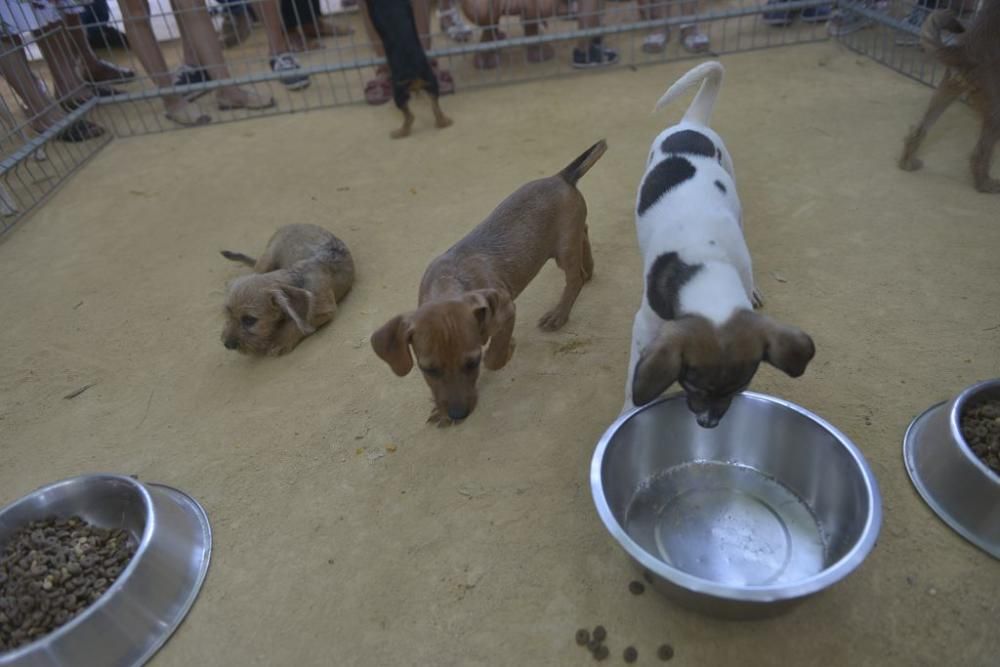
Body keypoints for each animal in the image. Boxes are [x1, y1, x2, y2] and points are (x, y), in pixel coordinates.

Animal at [221, 224, 354, 358]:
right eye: (228, 314)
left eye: (249, 320)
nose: (227, 344)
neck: (298, 278)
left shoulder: (323, 309)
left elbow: (297, 323)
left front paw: (280, 340)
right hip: (267, 260)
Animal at [368, 0, 454, 138]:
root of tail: (414, 73)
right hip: (431, 82)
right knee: (435, 109)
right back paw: (443, 122)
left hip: (399, 93)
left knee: (410, 117)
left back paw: (400, 132)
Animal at [628, 61, 816, 428]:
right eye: (692, 385)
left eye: (740, 387)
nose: (709, 424)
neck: (706, 260)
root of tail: (693, 123)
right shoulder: (644, 325)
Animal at [900, 3, 1000, 193]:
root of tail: (966, 50)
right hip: (996, 108)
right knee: (980, 154)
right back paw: (986, 185)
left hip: (946, 88)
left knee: (919, 131)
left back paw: (908, 163)